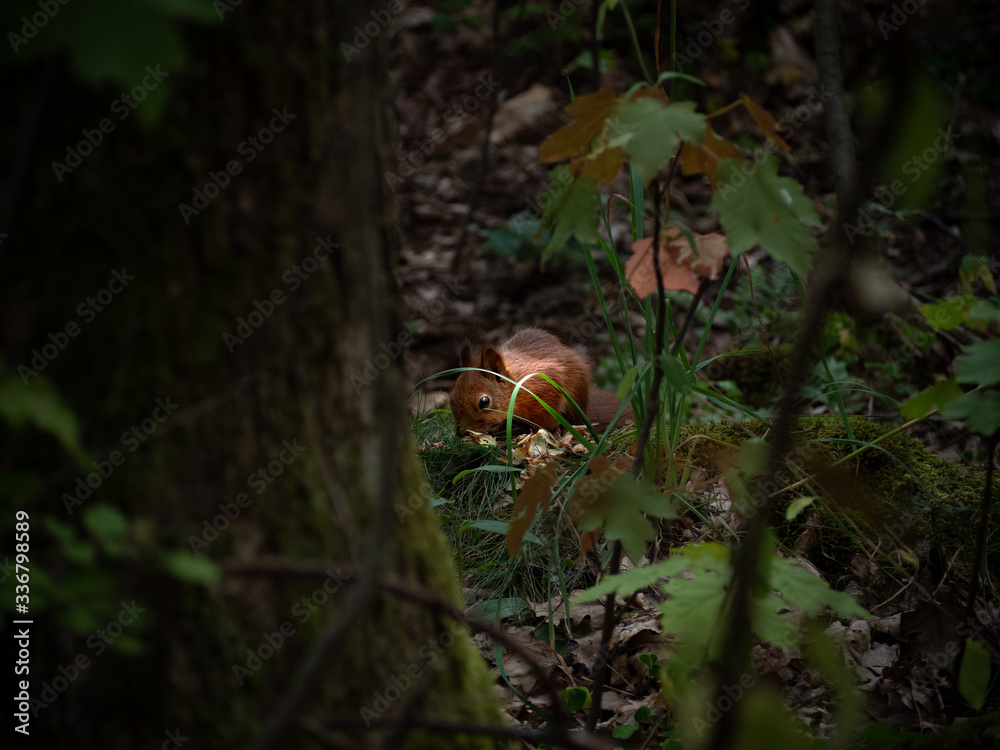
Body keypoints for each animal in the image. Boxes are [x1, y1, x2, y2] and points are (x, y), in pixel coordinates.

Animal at [449, 328, 632, 435]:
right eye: (451, 398)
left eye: (484, 401)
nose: (461, 432)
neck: (516, 385)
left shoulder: (544, 385)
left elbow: (545, 419)